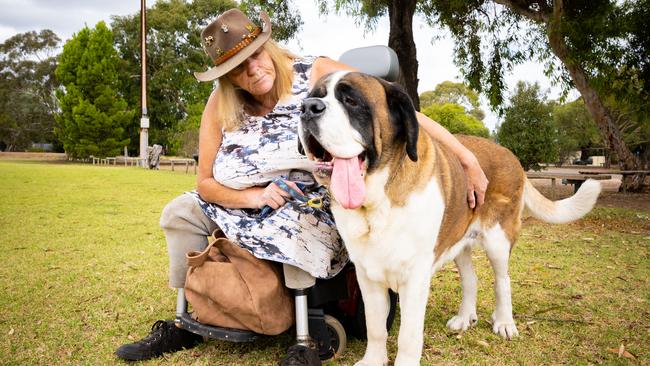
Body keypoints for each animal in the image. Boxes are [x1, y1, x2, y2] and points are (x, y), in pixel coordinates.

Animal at [296, 71, 600, 366]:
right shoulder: (367, 276)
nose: (307, 107)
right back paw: (465, 318)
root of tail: (509, 154)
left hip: (498, 240)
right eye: (314, 96)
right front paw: (373, 360)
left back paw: (504, 322)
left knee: (503, 280)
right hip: (458, 241)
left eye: (351, 101)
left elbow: (408, 335)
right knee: (470, 278)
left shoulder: (415, 278)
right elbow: (375, 327)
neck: (378, 197)